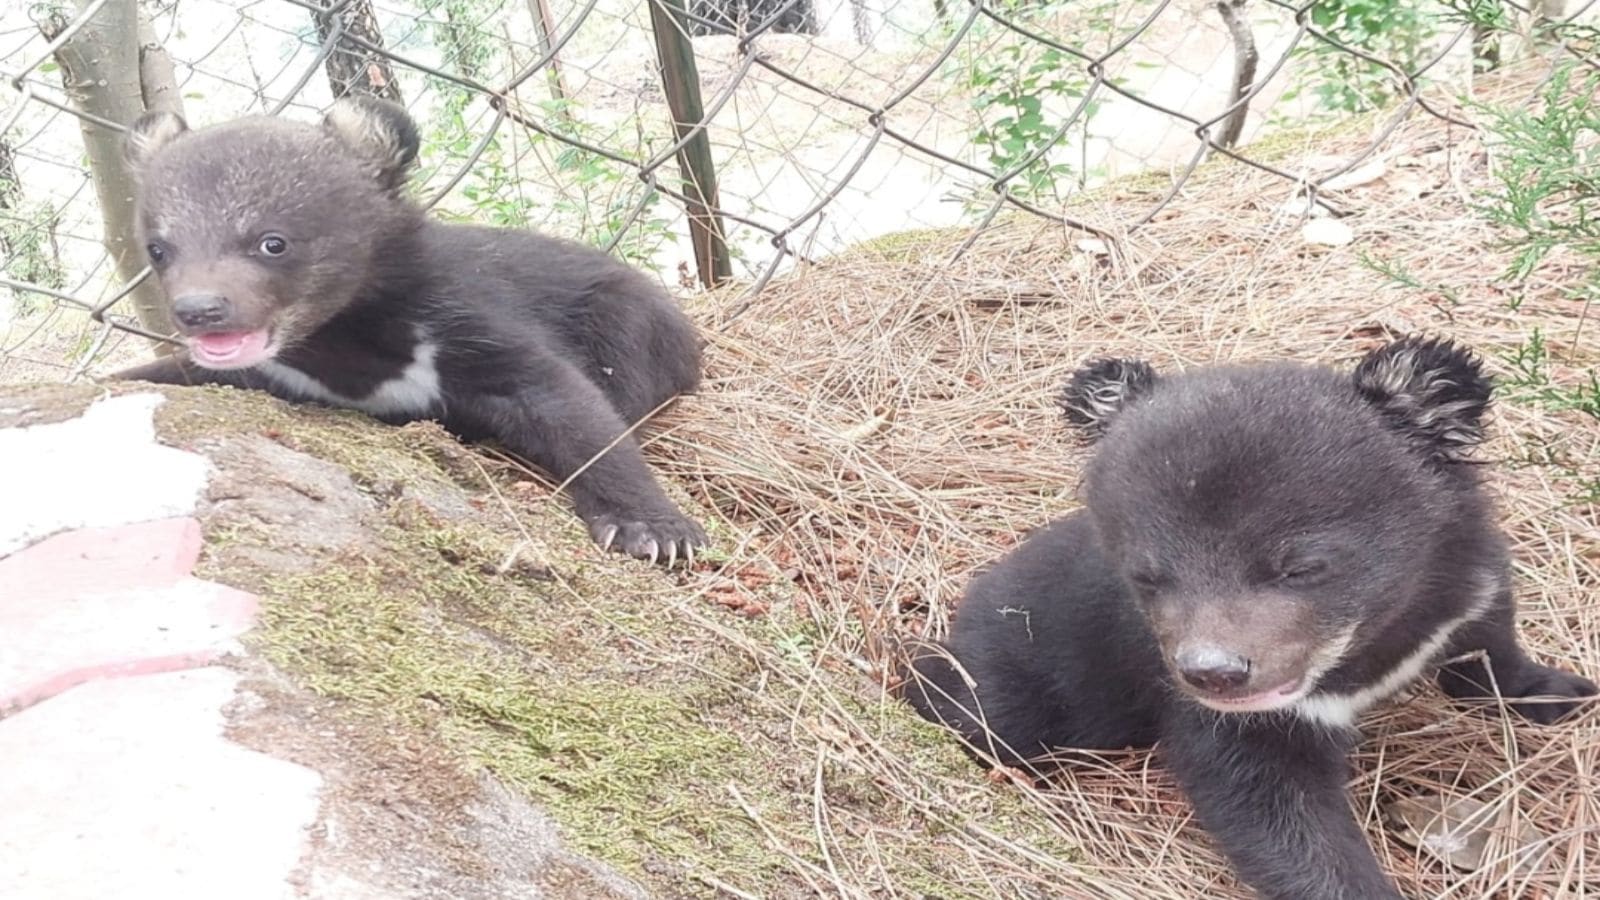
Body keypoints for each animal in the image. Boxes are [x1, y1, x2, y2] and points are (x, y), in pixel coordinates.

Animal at [113, 96, 705, 565]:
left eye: (272, 242)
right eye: (159, 250)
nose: (199, 310)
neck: (344, 344)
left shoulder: (467, 318)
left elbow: (570, 405)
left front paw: (654, 530)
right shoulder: (269, 370)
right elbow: (171, 370)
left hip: (628, 313)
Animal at [903, 336, 1596, 900]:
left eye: (1301, 567)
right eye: (1147, 575)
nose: (1213, 673)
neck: (1367, 647)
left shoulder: (1465, 578)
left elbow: (1489, 642)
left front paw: (1561, 692)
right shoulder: (1242, 724)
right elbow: (1270, 810)